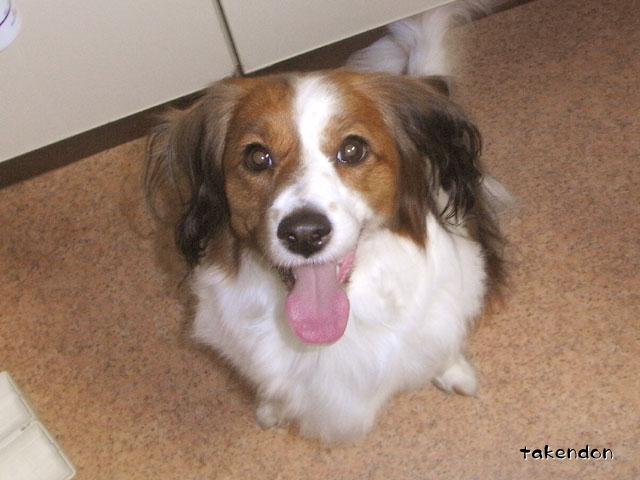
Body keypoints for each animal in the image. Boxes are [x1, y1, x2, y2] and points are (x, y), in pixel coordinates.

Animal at [144, 0, 505, 443]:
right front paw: (273, 406)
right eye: (256, 157)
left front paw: (453, 371)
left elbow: (440, 343)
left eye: (353, 150)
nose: (304, 234)